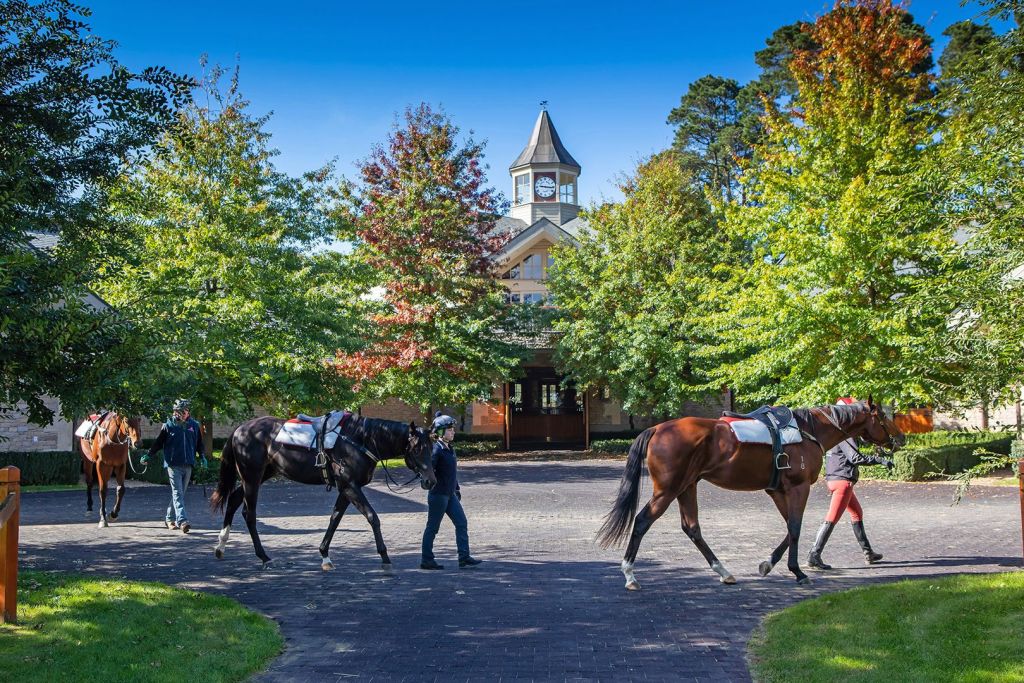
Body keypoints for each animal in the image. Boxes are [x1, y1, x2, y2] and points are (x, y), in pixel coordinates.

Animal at [209, 413, 434, 569]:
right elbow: (372, 517)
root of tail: (241, 429)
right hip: (252, 477)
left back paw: (221, 546)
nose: (430, 481)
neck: (360, 439)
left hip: (261, 474)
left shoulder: (346, 489)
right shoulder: (350, 486)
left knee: (234, 500)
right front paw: (384, 556)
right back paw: (264, 557)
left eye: (432, 448)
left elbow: (335, 519)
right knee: (249, 513)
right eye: (416, 449)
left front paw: (325, 555)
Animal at [593, 397, 905, 589]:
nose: (901, 438)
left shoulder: (777, 489)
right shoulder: (798, 487)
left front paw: (768, 563)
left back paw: (723, 571)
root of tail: (658, 428)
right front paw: (798, 571)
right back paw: (630, 574)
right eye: (883, 417)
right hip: (668, 490)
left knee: (692, 528)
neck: (808, 430)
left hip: (687, 487)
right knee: (642, 521)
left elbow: (789, 528)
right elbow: (795, 527)